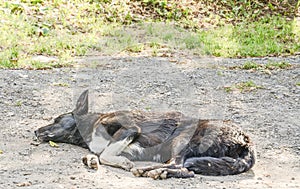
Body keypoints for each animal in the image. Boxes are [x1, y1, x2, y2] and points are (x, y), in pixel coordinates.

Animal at [34, 89, 255, 179]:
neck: (91, 126)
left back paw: (152, 171)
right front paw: (91, 160)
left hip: (183, 140)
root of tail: (246, 142)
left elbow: (105, 154)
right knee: (183, 169)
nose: (35, 130)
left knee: (182, 168)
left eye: (56, 119)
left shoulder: (130, 129)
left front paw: (122, 163)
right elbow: (98, 154)